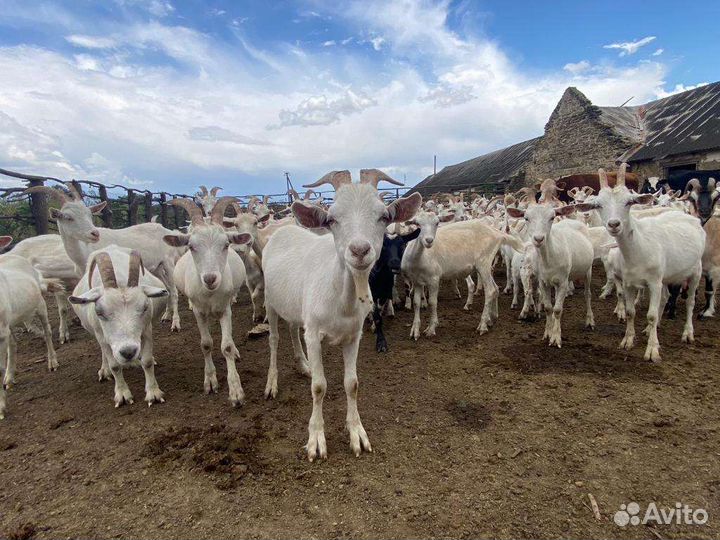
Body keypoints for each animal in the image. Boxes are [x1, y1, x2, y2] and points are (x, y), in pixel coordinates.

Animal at [0, 236, 58, 419]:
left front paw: (1, 408)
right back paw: (9, 377)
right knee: (13, 344)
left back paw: (52, 362)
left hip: (40, 304)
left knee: (47, 332)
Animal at [69, 247, 168, 406]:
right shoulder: (102, 337)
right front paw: (122, 395)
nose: (128, 352)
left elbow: (146, 362)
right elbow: (115, 366)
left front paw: (153, 393)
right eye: (99, 312)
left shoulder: (146, 330)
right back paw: (105, 370)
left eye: (145, 307)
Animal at [163, 197, 252, 405]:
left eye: (226, 244)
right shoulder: (199, 311)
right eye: (191, 246)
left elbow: (226, 346)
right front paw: (210, 381)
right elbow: (206, 344)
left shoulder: (225, 309)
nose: (210, 279)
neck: (210, 294)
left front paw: (236, 390)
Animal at [263, 169, 421, 461]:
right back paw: (272, 383)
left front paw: (357, 434)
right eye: (332, 219)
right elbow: (319, 386)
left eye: (384, 216)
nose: (359, 250)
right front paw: (316, 440)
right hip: (270, 299)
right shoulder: (314, 334)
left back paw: (302, 365)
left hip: (295, 304)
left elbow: (352, 383)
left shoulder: (353, 336)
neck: (340, 298)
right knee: (275, 339)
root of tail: (285, 228)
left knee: (293, 328)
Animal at [576, 164, 705, 361]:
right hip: (665, 276)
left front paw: (652, 351)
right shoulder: (629, 282)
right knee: (665, 297)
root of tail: (690, 217)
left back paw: (687, 333)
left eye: (629, 202)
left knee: (690, 301)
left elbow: (651, 315)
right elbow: (631, 312)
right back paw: (650, 329)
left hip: (695, 271)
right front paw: (628, 340)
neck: (639, 246)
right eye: (598, 204)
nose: (614, 224)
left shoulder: (653, 282)